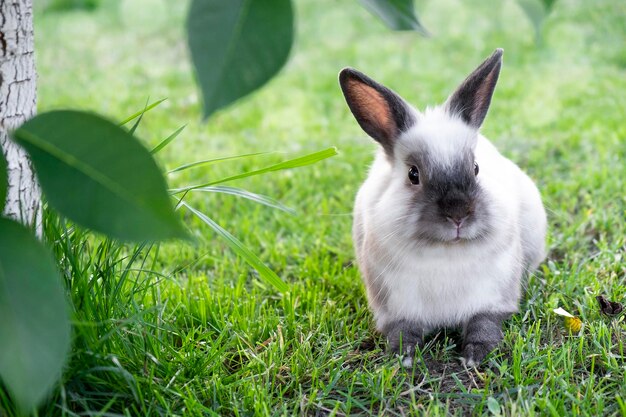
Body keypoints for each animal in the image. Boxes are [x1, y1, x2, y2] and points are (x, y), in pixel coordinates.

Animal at [338, 49, 544, 368]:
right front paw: (404, 357)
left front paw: (475, 356)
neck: (445, 253)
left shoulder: (493, 299)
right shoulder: (397, 307)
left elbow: (484, 324)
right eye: (413, 174)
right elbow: (403, 331)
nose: (458, 215)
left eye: (476, 168)